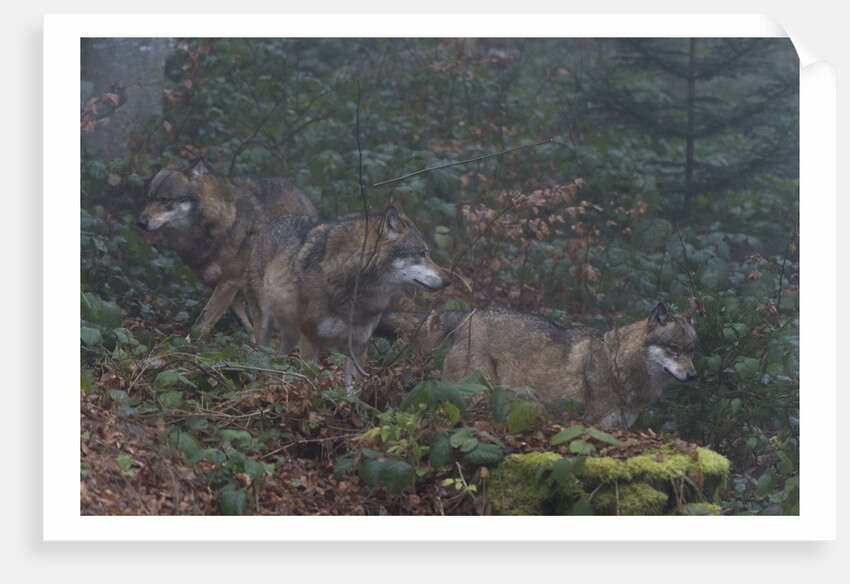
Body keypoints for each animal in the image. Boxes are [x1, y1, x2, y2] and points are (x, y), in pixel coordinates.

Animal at [136, 160, 317, 338]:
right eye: (148, 198)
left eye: (165, 200)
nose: (141, 223)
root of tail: (303, 196)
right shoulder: (220, 285)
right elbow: (240, 319)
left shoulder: (230, 281)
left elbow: (204, 317)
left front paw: (187, 342)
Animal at [245, 201, 451, 393]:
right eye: (421, 254)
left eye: (428, 254)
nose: (448, 280)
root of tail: (272, 223)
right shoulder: (310, 339)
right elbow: (309, 382)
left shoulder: (359, 346)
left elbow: (353, 393)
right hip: (266, 327)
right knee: (262, 357)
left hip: (292, 335)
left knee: (277, 358)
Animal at [377, 300, 698, 429]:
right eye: (673, 349)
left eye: (692, 350)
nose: (694, 375)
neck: (619, 366)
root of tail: (470, 315)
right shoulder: (586, 422)